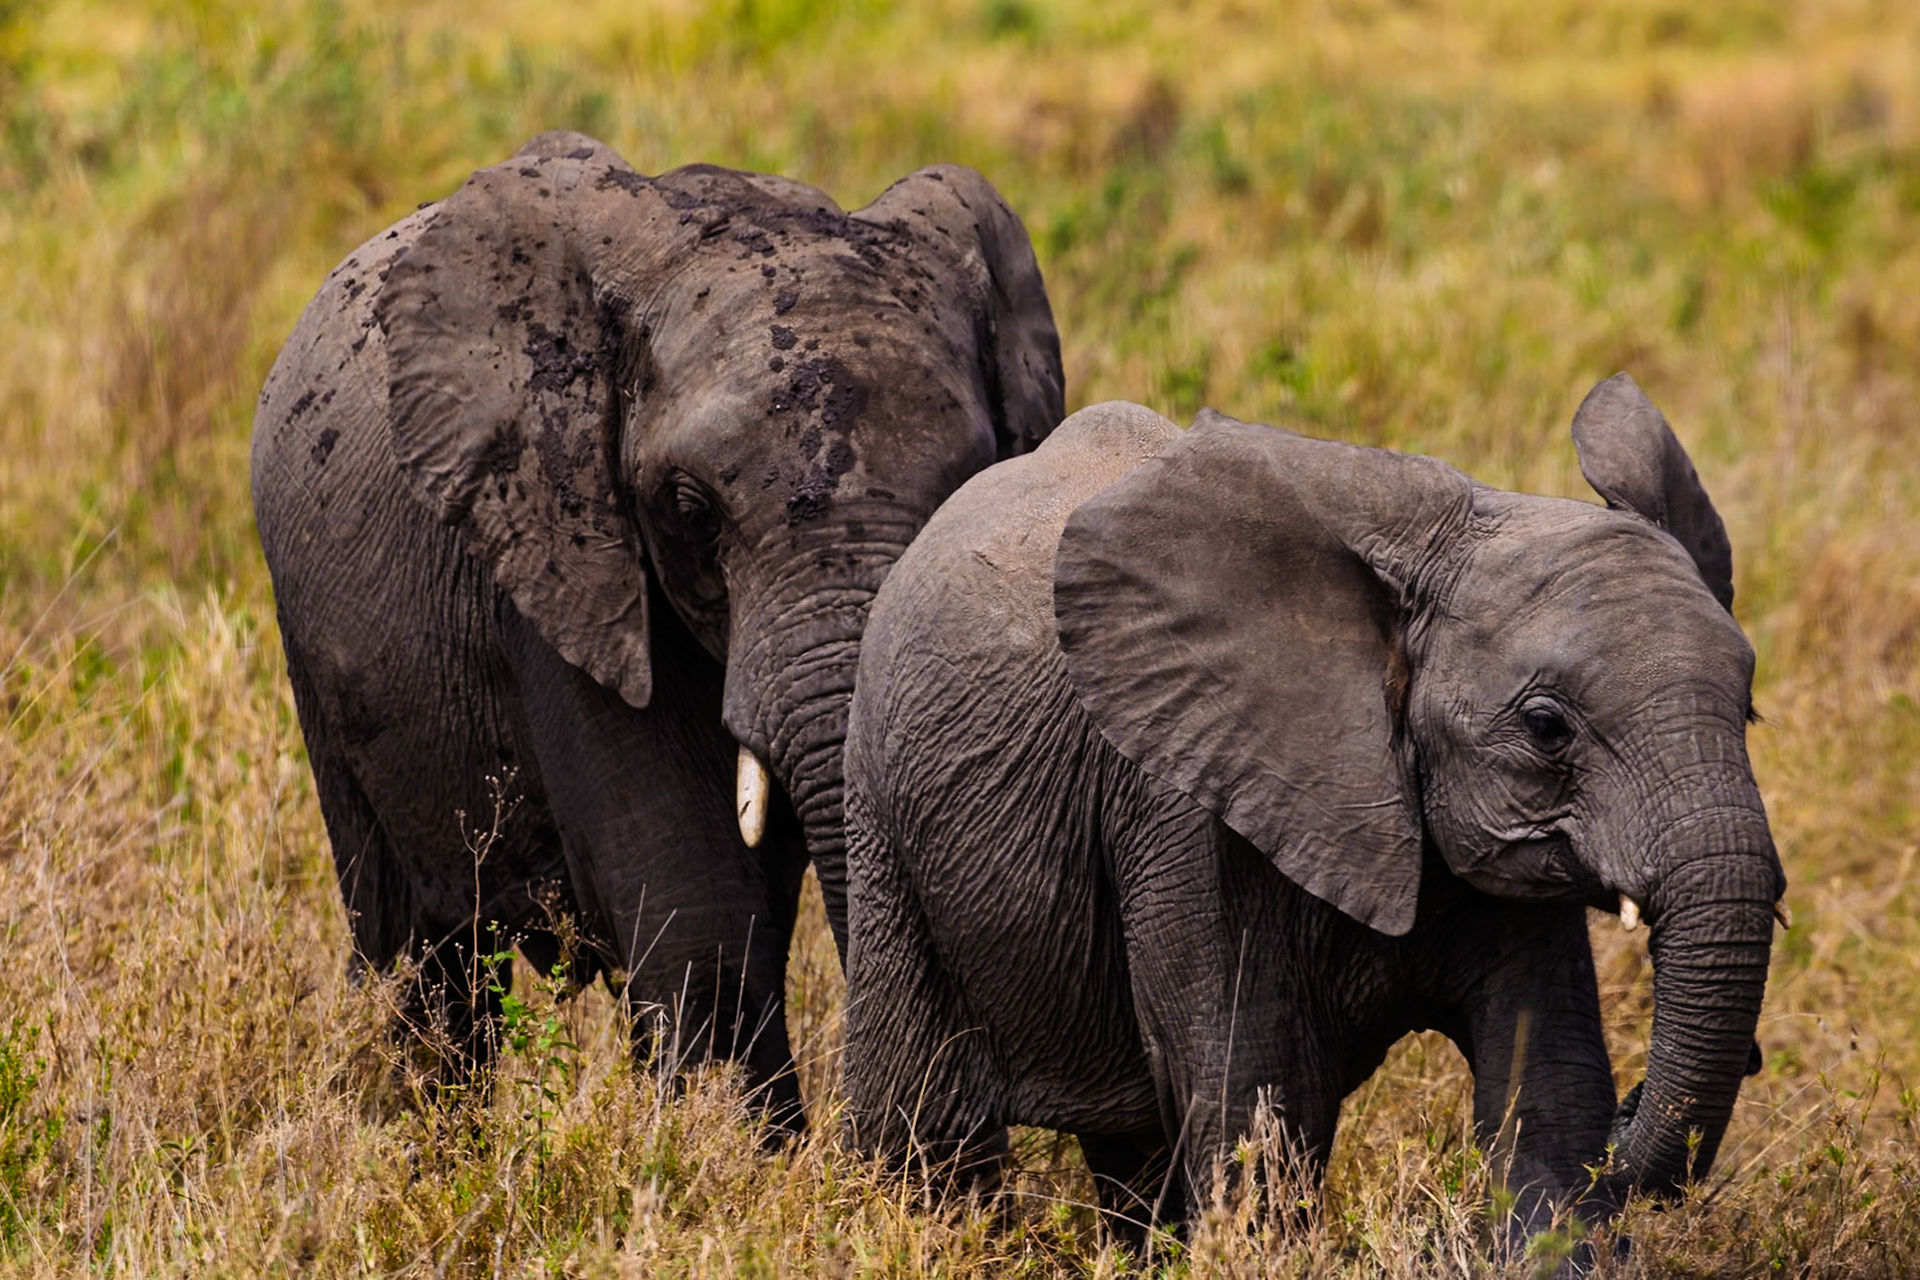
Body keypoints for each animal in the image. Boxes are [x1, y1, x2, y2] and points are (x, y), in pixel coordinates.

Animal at [840, 384, 1784, 1236]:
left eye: (1747, 711)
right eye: (1548, 728)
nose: (1641, 1111)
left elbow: (1549, 1092)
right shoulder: (1188, 810)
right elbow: (1257, 1101)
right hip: (883, 819)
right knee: (924, 1126)